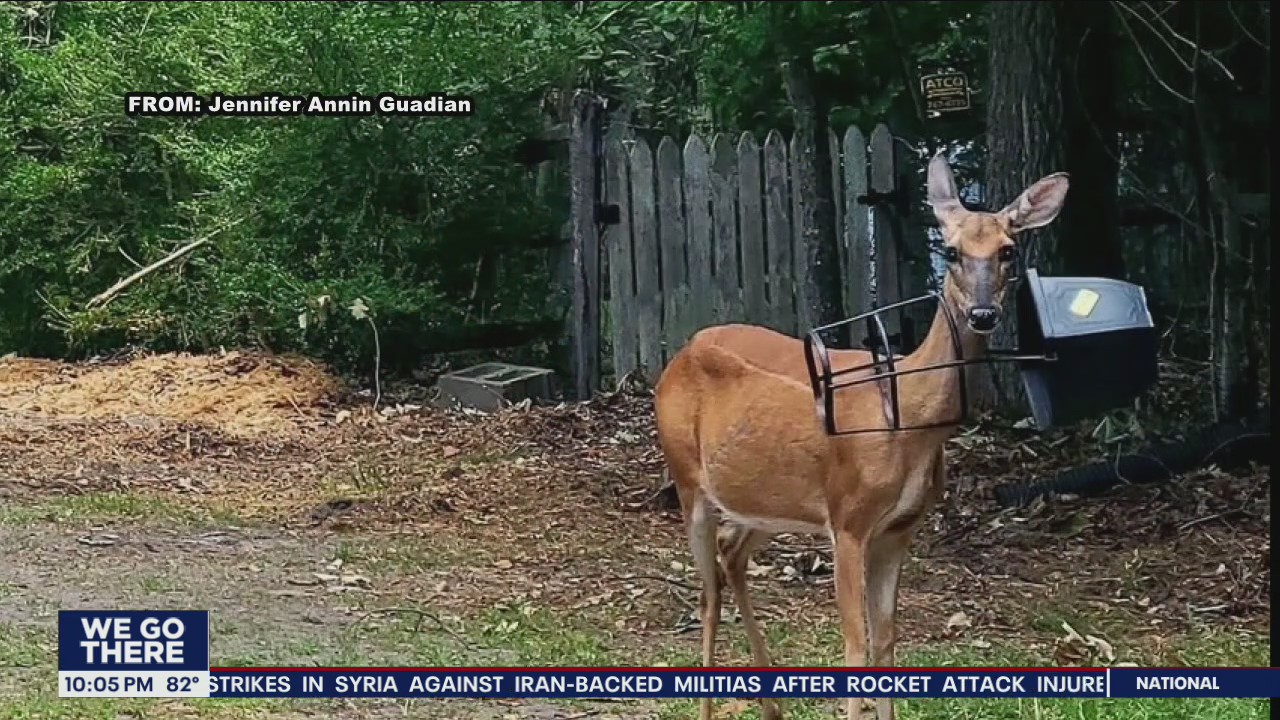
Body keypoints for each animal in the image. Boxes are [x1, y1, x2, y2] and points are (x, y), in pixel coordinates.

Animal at [653, 152, 1069, 720]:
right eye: (952, 251)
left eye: (1008, 250)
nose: (984, 313)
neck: (909, 417)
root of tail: (678, 355)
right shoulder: (848, 519)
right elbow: (854, 646)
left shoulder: (898, 528)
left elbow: (886, 642)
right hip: (687, 478)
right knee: (707, 593)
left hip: (767, 500)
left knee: (731, 554)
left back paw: (773, 708)